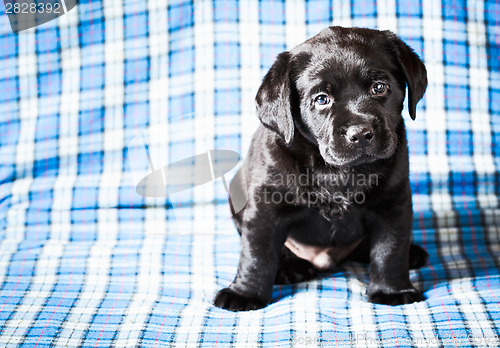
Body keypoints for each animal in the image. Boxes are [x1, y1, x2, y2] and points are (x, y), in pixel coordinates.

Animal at [213, 25, 428, 312]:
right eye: (322, 99)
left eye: (379, 87)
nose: (360, 134)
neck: (336, 171)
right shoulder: (265, 205)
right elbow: (257, 253)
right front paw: (245, 293)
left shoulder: (393, 203)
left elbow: (390, 249)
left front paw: (392, 290)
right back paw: (290, 268)